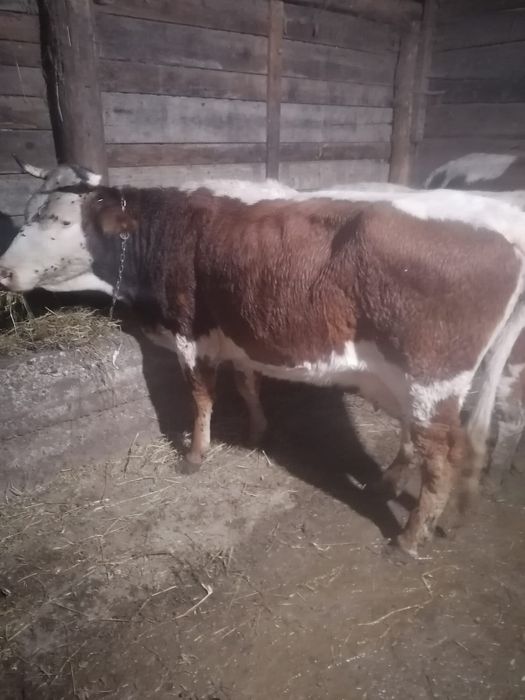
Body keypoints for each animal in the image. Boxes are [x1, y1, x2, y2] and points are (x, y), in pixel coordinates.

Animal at [2, 165, 525, 558]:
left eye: (60, 221)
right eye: (28, 212)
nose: (4, 270)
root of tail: (502, 215)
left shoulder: (188, 331)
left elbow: (201, 397)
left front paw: (195, 455)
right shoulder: (239, 333)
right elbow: (247, 383)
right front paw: (256, 432)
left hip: (431, 379)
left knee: (443, 456)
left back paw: (408, 539)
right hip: (414, 383)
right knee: (420, 439)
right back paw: (387, 483)